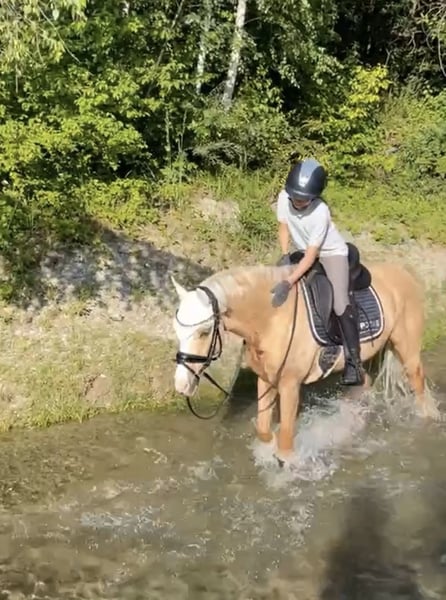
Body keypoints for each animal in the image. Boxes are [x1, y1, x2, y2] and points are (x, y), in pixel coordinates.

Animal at [171, 245, 440, 465]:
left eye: (205, 331)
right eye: (177, 330)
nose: (182, 385)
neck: (271, 317)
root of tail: (405, 273)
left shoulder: (290, 385)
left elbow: (286, 440)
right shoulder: (266, 380)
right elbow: (264, 429)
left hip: (408, 350)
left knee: (419, 387)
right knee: (363, 386)